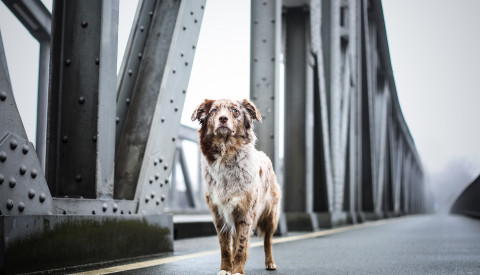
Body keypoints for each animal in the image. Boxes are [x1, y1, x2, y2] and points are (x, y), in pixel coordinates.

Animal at [191, 99, 282, 275]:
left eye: (235, 111)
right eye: (214, 111)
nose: (223, 118)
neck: (226, 153)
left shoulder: (245, 214)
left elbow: (240, 246)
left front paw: (238, 270)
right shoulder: (219, 214)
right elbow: (226, 247)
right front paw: (226, 269)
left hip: (271, 216)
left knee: (268, 241)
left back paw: (270, 263)